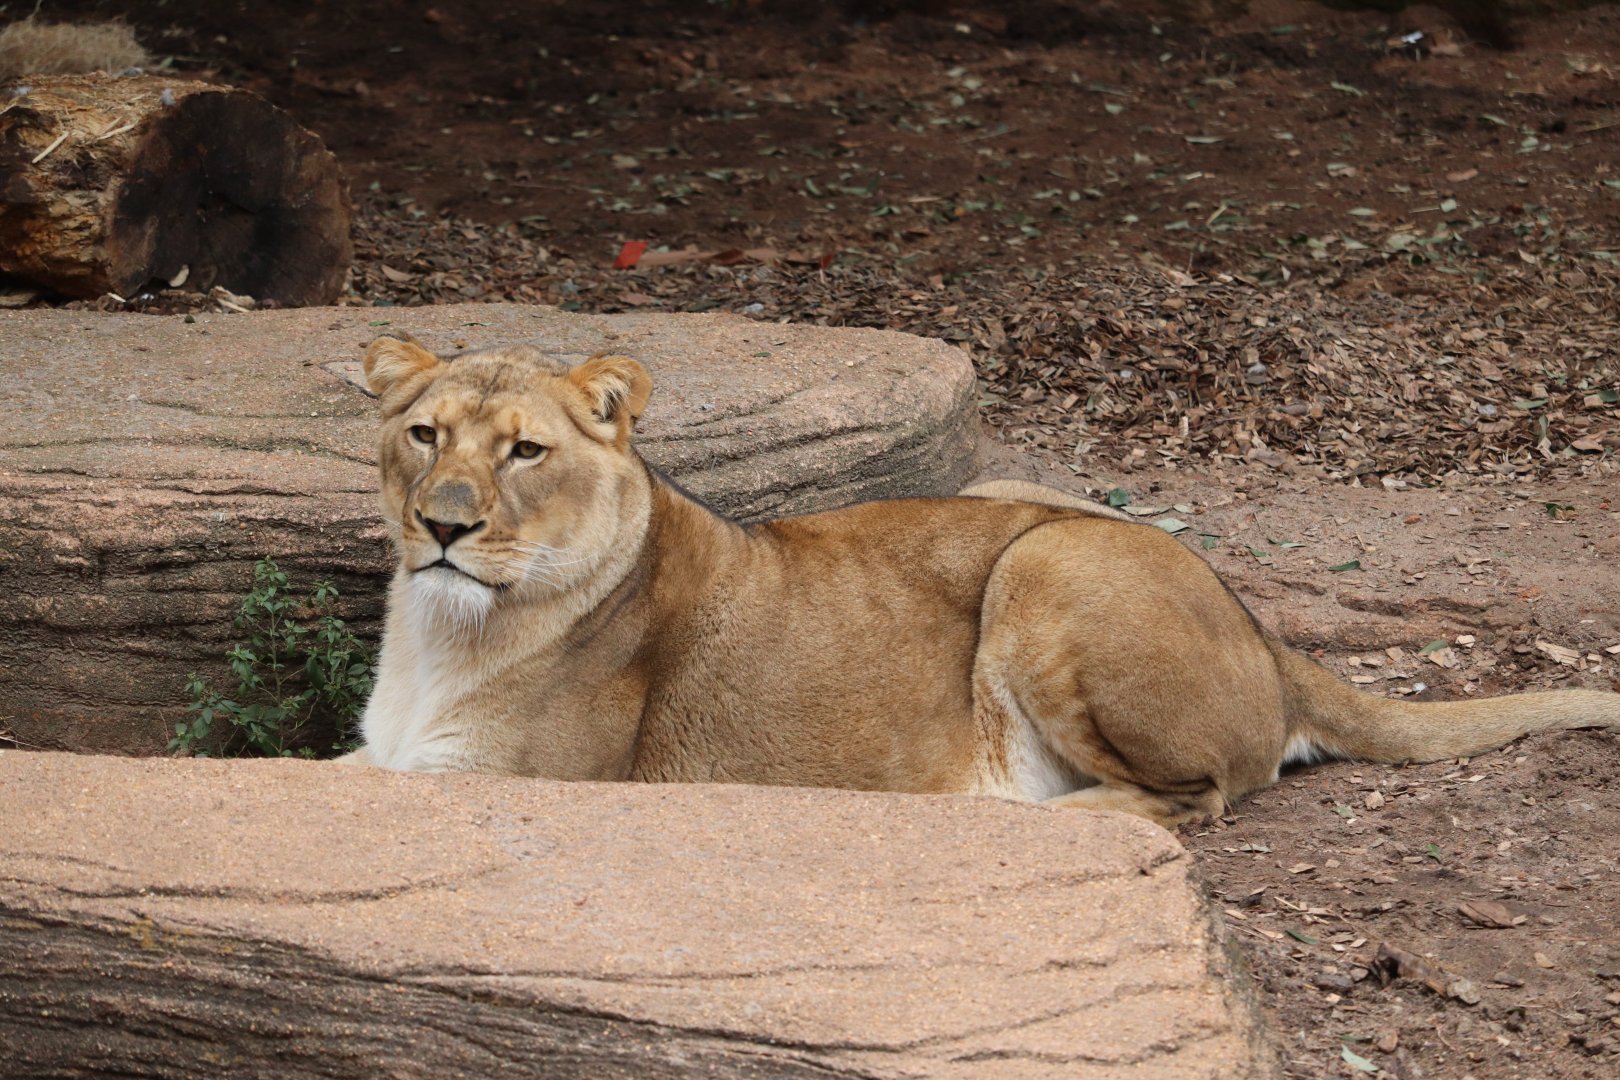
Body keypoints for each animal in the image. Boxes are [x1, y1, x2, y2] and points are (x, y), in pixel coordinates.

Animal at [341, 337, 1620, 828]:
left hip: (1048, 558)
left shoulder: (516, 782)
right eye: (423, 434)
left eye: (525, 452)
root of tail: (1266, 638)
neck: (444, 630)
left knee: (1190, 796)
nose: (443, 526)